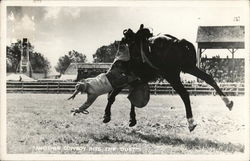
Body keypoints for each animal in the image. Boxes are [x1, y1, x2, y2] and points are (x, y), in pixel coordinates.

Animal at [102, 26, 233, 132]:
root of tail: (178, 41)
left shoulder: (126, 79)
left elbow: (113, 96)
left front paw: (107, 115)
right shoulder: (136, 81)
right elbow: (132, 98)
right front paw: (132, 119)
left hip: (171, 75)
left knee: (184, 94)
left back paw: (191, 122)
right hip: (189, 68)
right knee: (209, 79)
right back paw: (228, 102)